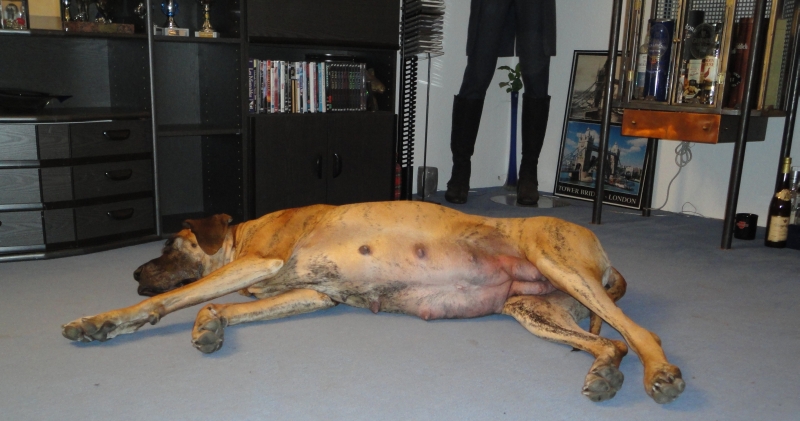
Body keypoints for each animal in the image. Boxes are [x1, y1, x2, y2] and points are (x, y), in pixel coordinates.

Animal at [62, 201, 684, 404]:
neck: (243, 234)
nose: (133, 270)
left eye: (172, 244)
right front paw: (209, 327)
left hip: (557, 261)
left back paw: (659, 373)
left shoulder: (260, 261)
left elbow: (181, 298)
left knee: (641, 334)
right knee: (608, 344)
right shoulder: (313, 294)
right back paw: (605, 375)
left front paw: (103, 320)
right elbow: (219, 308)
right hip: (534, 310)